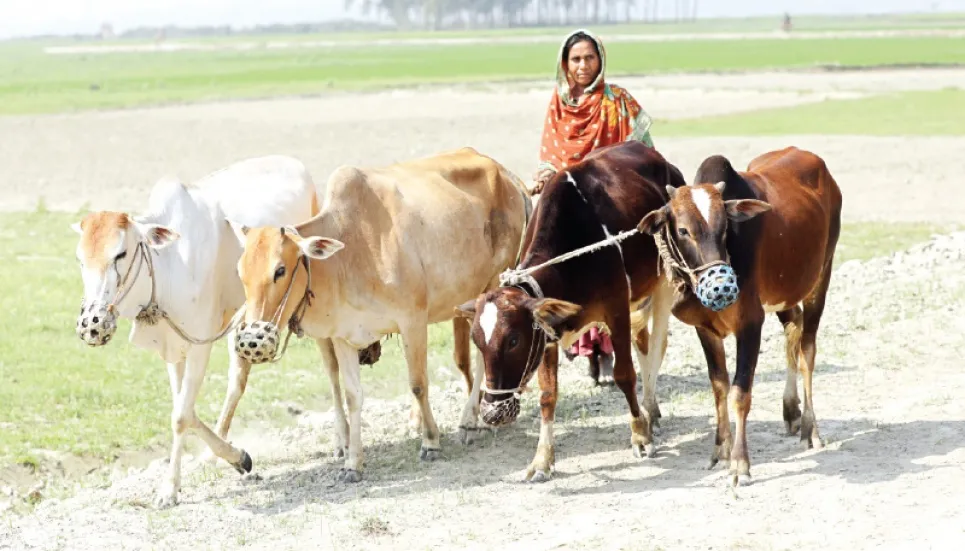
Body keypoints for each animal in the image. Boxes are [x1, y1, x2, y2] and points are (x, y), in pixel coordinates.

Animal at [73, 155, 320, 508]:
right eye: (80, 259)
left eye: (120, 253)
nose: (92, 322)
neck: (168, 267)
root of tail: (294, 162)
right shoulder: (173, 350)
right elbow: (184, 410)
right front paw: (233, 458)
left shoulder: (200, 346)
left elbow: (181, 415)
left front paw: (170, 489)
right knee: (236, 381)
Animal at [230, 148, 532, 484]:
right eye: (241, 273)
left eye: (280, 270)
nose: (251, 338)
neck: (353, 251)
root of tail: (505, 173)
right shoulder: (342, 337)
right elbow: (352, 396)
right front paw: (353, 462)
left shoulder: (413, 320)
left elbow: (418, 384)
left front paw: (430, 442)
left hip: (492, 284)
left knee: (482, 357)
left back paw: (468, 421)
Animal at [456, 142, 680, 484]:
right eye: (478, 343)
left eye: (513, 341)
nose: (492, 413)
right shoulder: (548, 333)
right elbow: (548, 395)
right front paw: (541, 460)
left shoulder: (616, 310)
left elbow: (625, 374)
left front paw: (640, 436)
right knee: (644, 346)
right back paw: (649, 411)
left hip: (663, 283)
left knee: (655, 348)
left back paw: (649, 410)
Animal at [636, 147, 840, 488]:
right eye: (683, 230)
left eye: (725, 228)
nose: (720, 284)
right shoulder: (705, 329)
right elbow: (719, 386)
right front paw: (721, 450)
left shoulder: (751, 324)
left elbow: (740, 394)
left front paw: (740, 464)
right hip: (784, 294)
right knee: (794, 328)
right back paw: (791, 411)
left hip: (819, 279)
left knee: (807, 351)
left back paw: (810, 428)